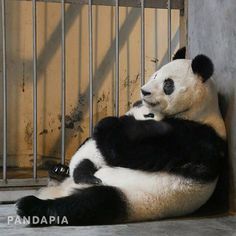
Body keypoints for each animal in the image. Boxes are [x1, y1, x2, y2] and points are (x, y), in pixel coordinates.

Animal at [15, 48, 226, 227]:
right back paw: (58, 171)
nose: (144, 91)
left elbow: (131, 150)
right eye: (155, 75)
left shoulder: (193, 137)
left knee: (92, 203)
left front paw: (108, 124)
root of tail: (59, 190)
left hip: (133, 197)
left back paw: (30, 206)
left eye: (168, 84)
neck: (199, 111)